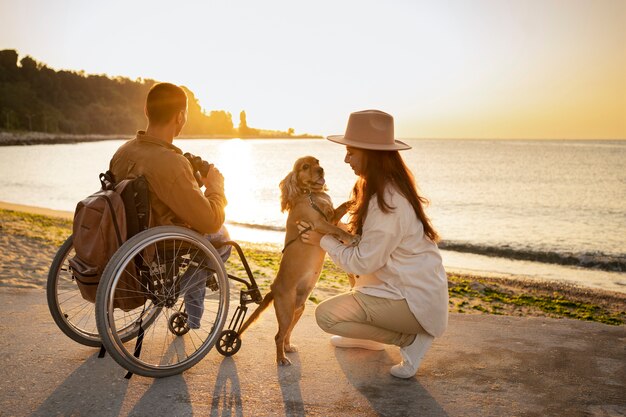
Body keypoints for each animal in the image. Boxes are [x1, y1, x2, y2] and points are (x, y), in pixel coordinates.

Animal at [238, 156, 358, 364]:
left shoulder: (330, 217)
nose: (321, 169)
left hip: (298, 308)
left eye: (317, 161)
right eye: (305, 166)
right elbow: (338, 230)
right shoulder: (319, 223)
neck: (311, 195)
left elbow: (340, 209)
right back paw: (281, 358)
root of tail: (273, 288)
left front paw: (351, 201)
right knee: (278, 335)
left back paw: (287, 348)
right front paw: (350, 237)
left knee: (286, 333)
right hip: (286, 310)